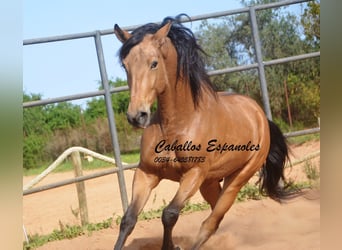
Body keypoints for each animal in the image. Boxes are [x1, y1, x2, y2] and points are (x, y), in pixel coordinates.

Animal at [114, 16, 288, 250]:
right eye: (126, 65)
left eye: (154, 63)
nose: (136, 116)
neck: (178, 124)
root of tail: (259, 113)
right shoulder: (146, 173)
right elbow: (129, 219)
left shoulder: (193, 173)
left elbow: (169, 214)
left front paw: (171, 247)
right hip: (210, 183)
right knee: (217, 214)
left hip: (237, 178)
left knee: (212, 221)